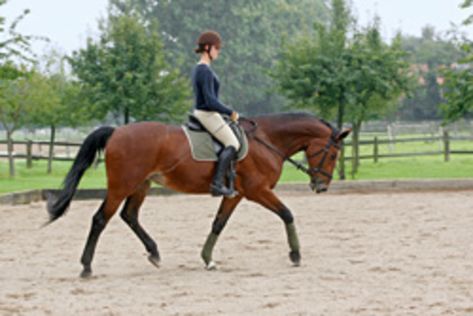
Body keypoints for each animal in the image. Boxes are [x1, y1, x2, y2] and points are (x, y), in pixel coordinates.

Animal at [48, 112, 348, 278]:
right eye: (333, 154)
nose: (321, 187)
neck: (267, 141)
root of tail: (117, 131)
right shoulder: (257, 191)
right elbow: (287, 213)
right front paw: (295, 255)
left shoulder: (235, 194)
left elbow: (218, 224)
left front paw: (208, 259)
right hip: (122, 186)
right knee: (101, 219)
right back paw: (87, 267)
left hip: (141, 185)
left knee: (129, 216)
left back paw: (154, 253)